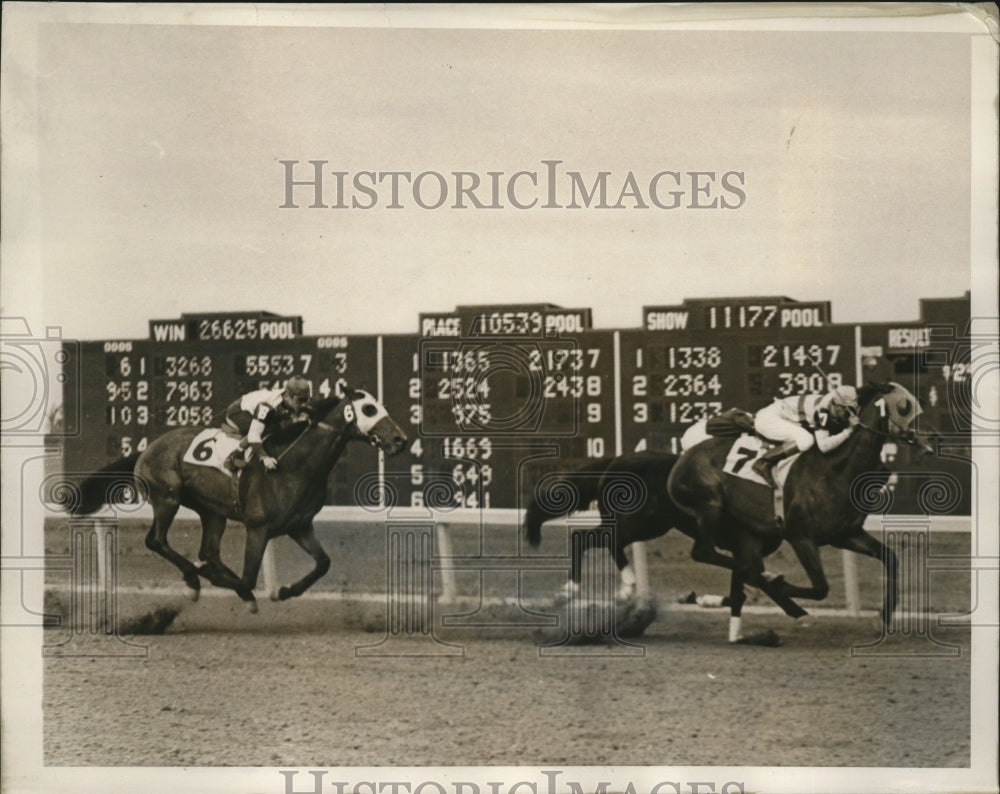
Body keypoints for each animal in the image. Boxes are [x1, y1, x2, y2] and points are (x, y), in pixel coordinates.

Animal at [70, 386, 408, 608]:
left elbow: (323, 563)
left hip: (212, 511)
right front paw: (226, 583)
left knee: (208, 550)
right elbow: (247, 578)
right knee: (157, 541)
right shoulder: (258, 528)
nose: (400, 439)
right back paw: (194, 579)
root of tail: (146, 449)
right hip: (167, 498)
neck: (295, 463)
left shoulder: (299, 525)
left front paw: (284, 591)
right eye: (368, 409)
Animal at [664, 380, 936, 628]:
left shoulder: (845, 534)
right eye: (904, 407)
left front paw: (887, 612)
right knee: (707, 553)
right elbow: (820, 588)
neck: (836, 470)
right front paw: (780, 583)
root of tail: (683, 457)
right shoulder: (800, 536)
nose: (934, 438)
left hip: (750, 531)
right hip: (710, 504)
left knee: (744, 562)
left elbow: (891, 558)